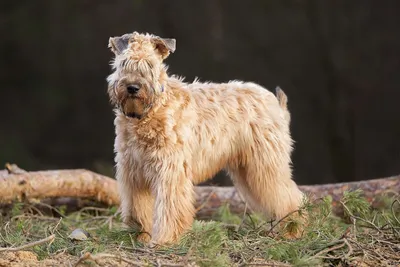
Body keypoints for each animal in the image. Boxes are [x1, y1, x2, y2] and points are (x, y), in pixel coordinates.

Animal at [107, 31, 306, 247]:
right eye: (123, 63)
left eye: (150, 65)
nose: (133, 87)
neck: (149, 113)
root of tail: (275, 103)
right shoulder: (133, 172)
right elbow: (137, 209)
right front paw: (139, 236)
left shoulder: (170, 171)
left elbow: (169, 208)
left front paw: (164, 240)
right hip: (248, 170)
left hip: (266, 165)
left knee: (291, 197)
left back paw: (293, 230)